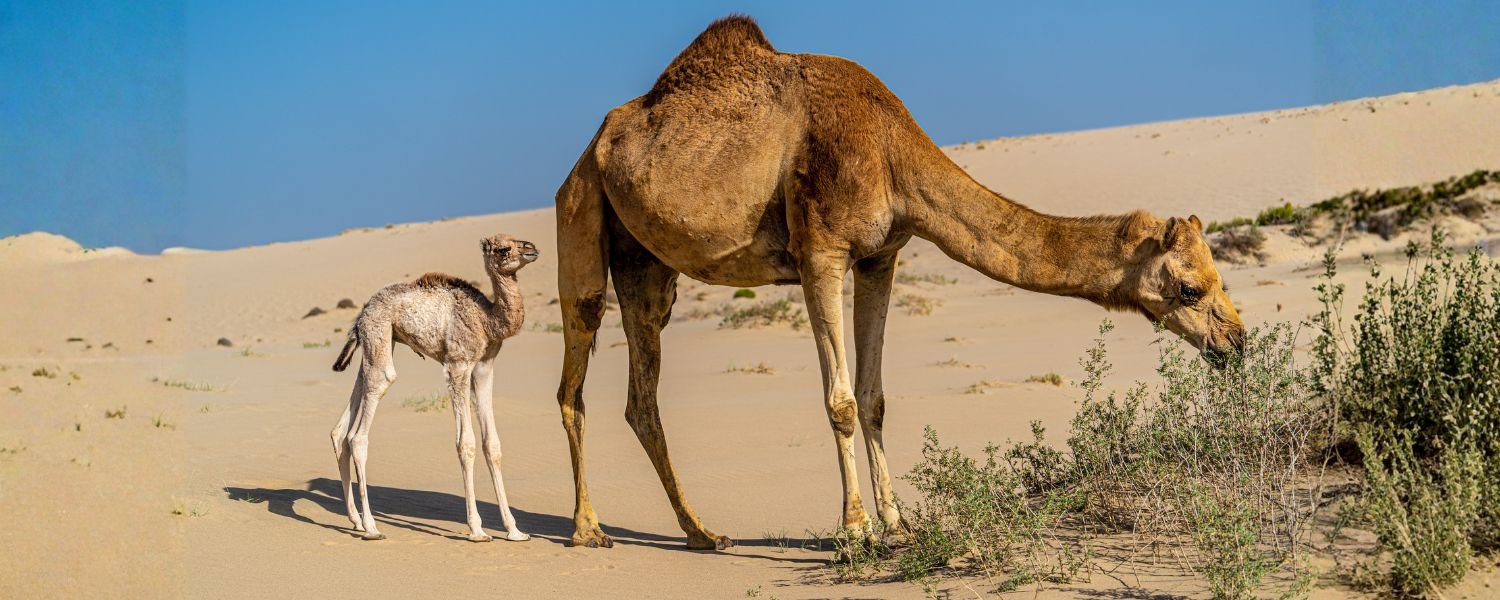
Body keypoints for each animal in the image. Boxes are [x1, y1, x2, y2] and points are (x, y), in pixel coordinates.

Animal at [329, 234, 538, 542]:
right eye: (503, 249)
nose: (532, 249)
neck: (486, 319)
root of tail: (362, 313)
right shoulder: (458, 364)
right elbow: (466, 443)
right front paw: (477, 530)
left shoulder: (484, 367)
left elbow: (492, 444)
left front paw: (515, 530)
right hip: (379, 334)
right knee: (360, 431)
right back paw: (371, 527)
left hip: (377, 344)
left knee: (342, 428)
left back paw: (355, 520)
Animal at [553, 16, 1245, 550]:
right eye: (1191, 289)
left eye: (1220, 280)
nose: (1237, 342)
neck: (890, 151)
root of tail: (594, 143)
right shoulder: (821, 251)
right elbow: (840, 399)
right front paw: (856, 530)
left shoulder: (879, 257)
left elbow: (874, 394)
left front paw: (898, 524)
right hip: (581, 210)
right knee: (576, 365)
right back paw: (589, 531)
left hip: (647, 267)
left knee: (642, 394)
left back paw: (702, 533)